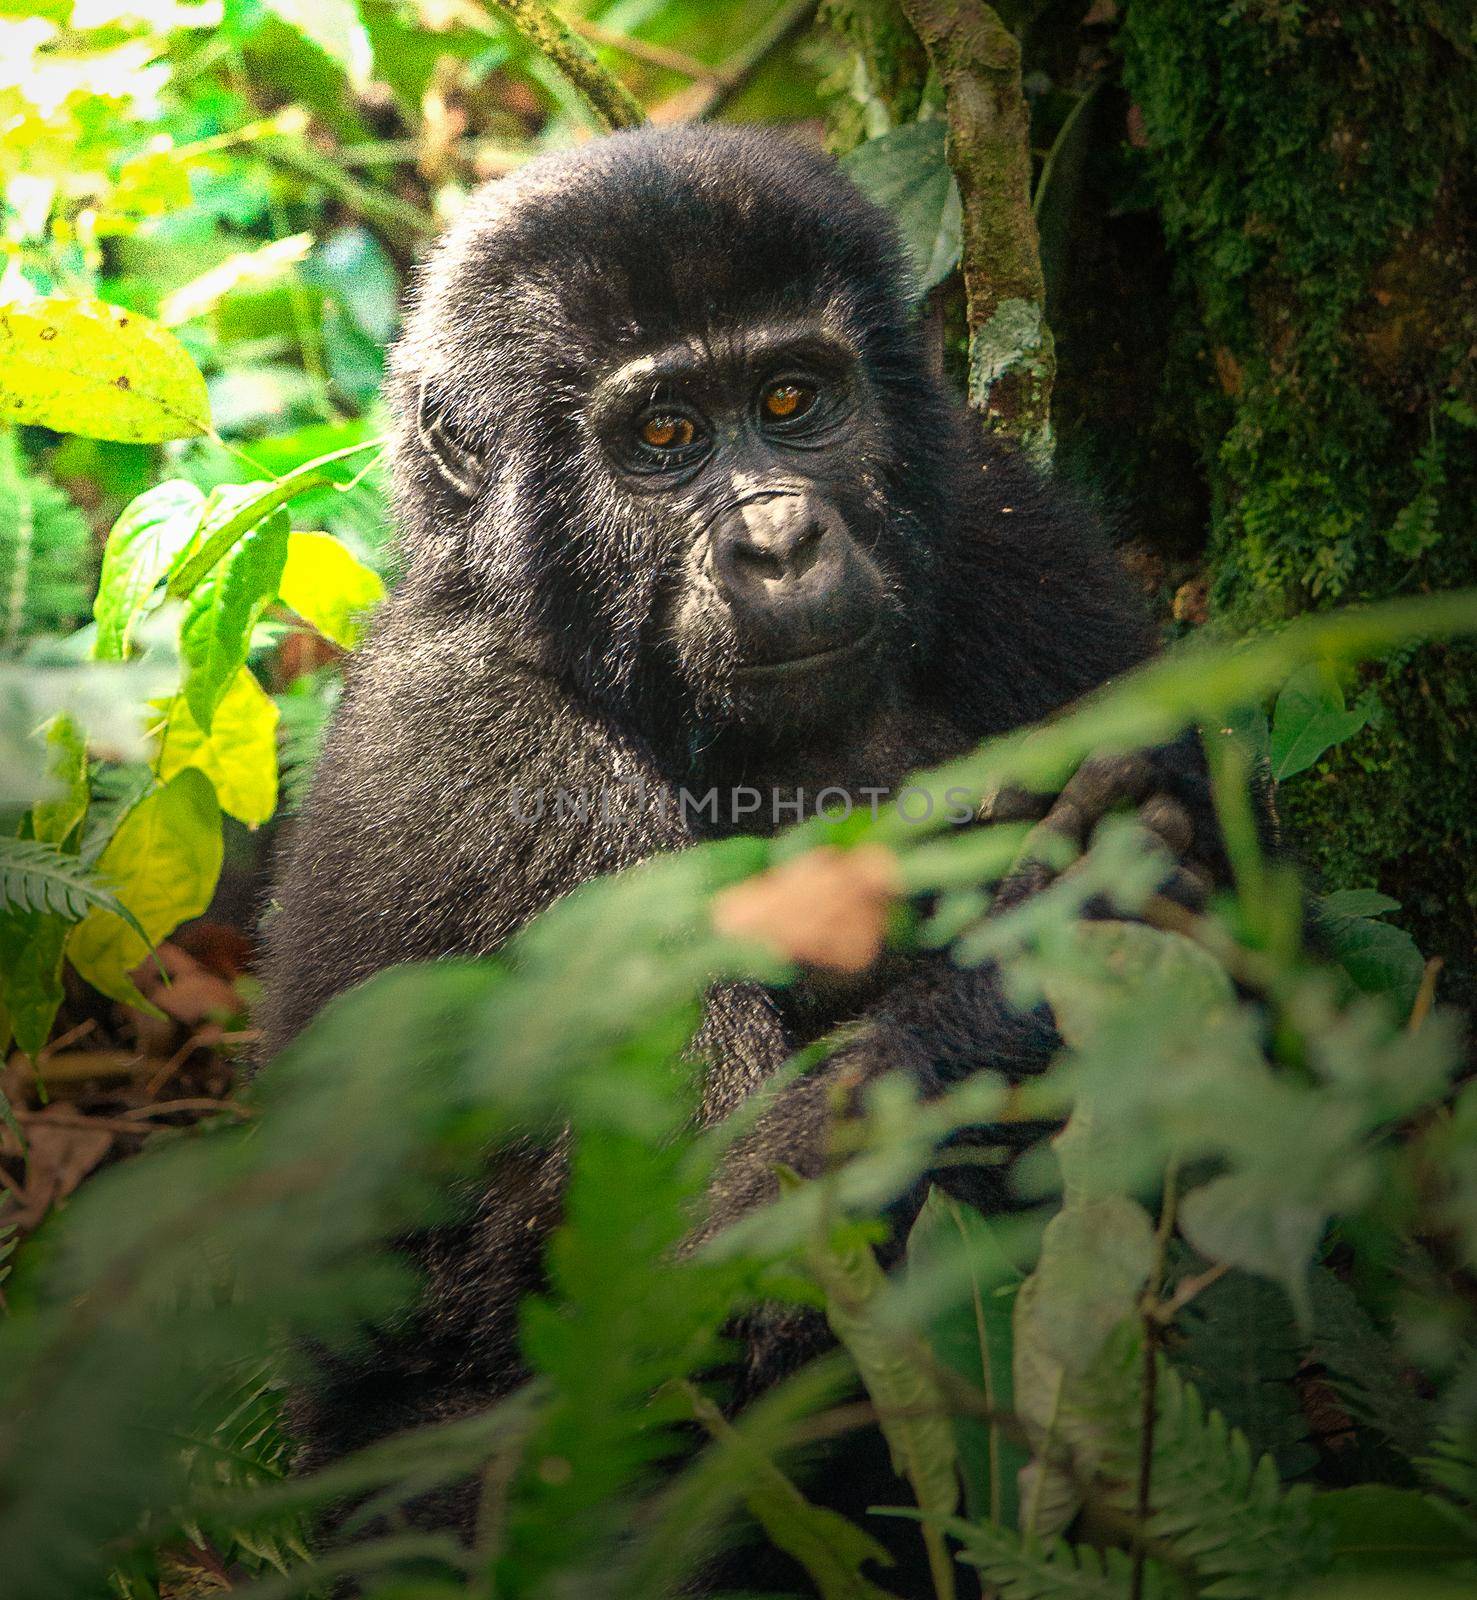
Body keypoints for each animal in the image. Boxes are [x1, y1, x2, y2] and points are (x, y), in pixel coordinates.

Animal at [262, 121, 1222, 1574]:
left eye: (790, 402)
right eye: (663, 435)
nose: (780, 538)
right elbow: (684, 1287)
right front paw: (1061, 919)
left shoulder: (1010, 534)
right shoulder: (492, 765)